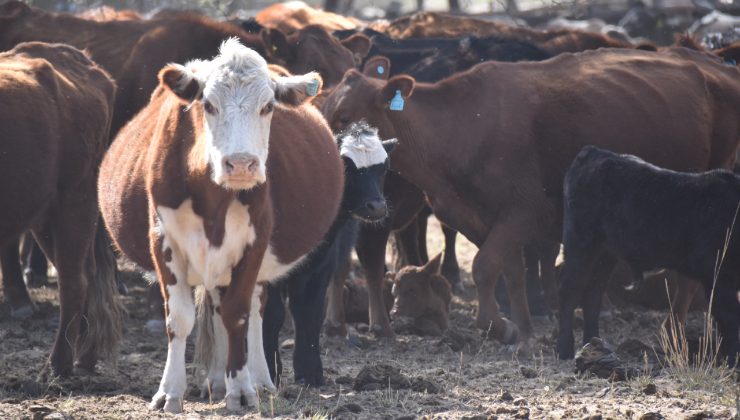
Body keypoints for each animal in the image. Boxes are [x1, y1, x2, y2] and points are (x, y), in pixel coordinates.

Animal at [97, 40, 346, 414]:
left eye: (268, 106)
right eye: (209, 105)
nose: (241, 164)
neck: (211, 198)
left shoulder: (254, 241)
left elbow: (238, 315)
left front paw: (241, 389)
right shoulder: (163, 240)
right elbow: (180, 318)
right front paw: (169, 392)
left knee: (254, 309)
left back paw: (259, 380)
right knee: (215, 305)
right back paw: (214, 380)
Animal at [262, 120, 396, 386]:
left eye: (384, 167)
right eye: (346, 167)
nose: (376, 207)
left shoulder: (321, 265)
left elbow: (310, 312)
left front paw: (310, 372)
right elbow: (273, 315)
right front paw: (271, 371)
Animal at [322, 46, 740, 348]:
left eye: (345, 116)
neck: (463, 127)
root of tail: (712, 63)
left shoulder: (524, 212)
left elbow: (484, 268)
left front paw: (498, 326)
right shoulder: (483, 218)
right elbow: (512, 272)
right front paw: (522, 330)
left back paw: (675, 328)